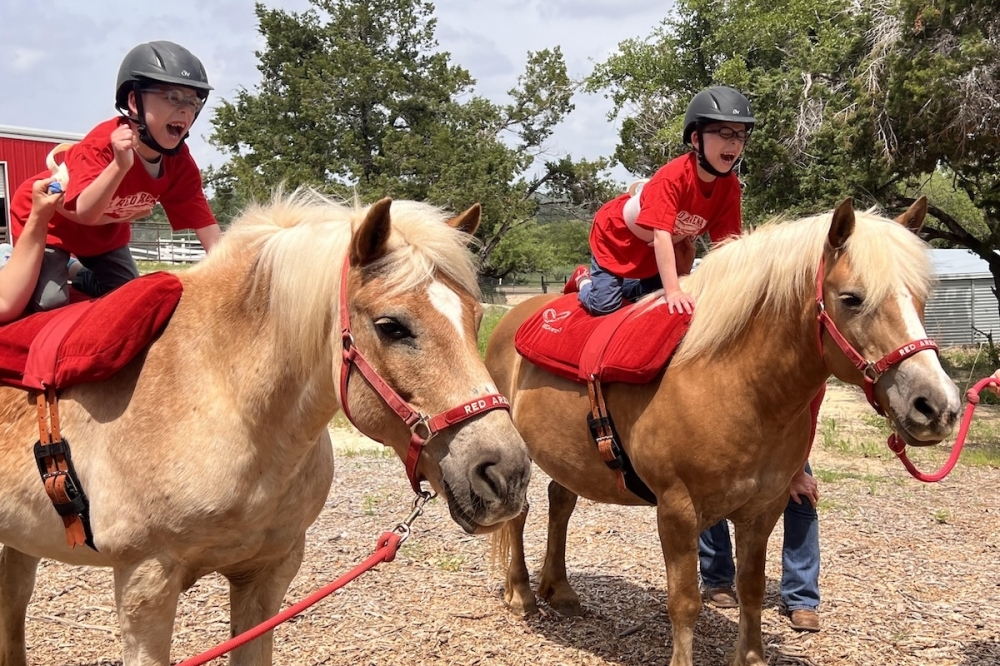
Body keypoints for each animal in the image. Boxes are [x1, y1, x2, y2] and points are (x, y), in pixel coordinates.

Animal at [0, 190, 531, 666]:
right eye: (391, 326)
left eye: (475, 318)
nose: (506, 473)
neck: (224, 400)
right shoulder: (144, 584)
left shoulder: (266, 575)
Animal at [486, 198, 960, 666]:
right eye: (852, 298)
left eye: (922, 297)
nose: (937, 406)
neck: (733, 381)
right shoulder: (676, 511)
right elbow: (684, 603)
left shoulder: (764, 509)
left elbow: (751, 589)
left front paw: (750, 656)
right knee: (520, 512)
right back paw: (521, 594)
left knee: (560, 502)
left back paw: (560, 590)